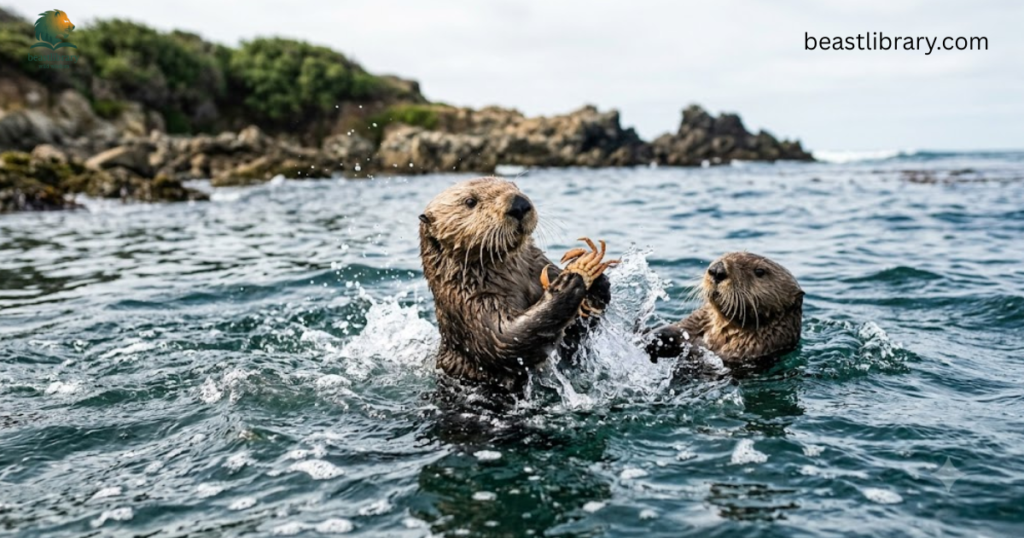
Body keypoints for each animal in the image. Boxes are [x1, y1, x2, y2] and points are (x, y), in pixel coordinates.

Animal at [419, 177, 618, 393]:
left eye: (515, 186)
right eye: (470, 201)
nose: (519, 204)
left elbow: (576, 337)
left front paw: (594, 278)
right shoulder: (470, 306)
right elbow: (506, 338)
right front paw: (566, 283)